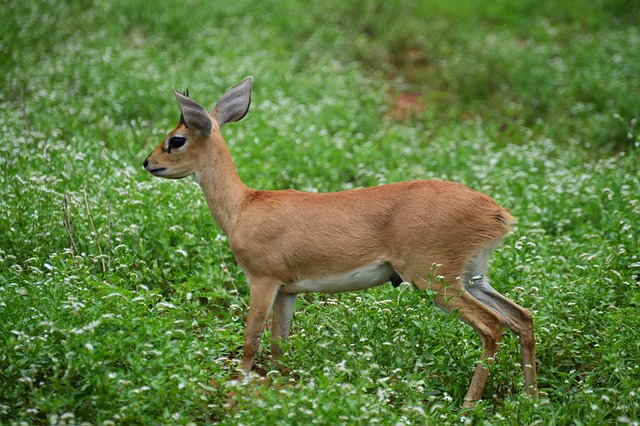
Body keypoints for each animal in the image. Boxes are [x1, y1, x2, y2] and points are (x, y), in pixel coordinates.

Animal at [142, 75, 536, 406]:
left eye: (176, 140)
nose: (148, 162)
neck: (244, 206)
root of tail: (497, 214)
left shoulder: (263, 280)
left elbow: (251, 341)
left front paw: (237, 394)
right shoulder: (288, 290)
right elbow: (279, 344)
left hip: (436, 281)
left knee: (493, 325)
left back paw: (469, 405)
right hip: (472, 277)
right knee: (522, 317)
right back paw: (531, 400)